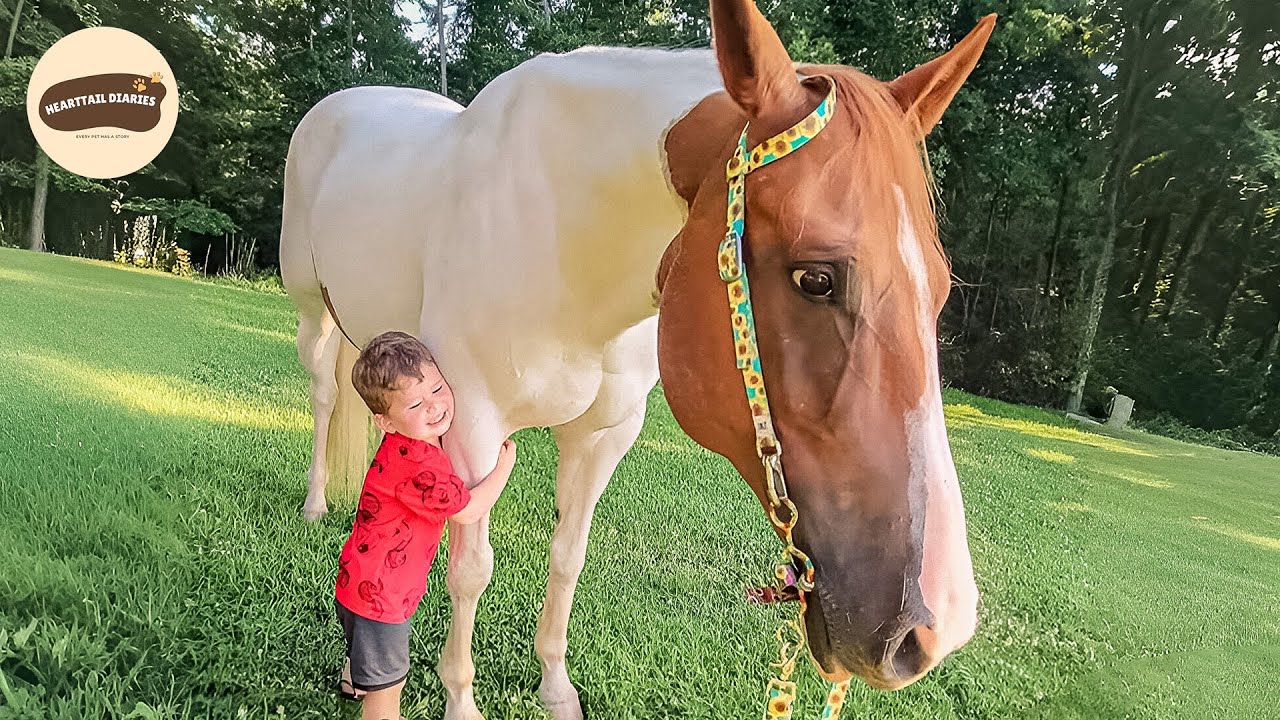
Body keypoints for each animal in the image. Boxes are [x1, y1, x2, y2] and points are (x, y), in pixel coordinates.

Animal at [279, 2, 994, 717]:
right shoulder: (469, 423)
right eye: (815, 278)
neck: (567, 238)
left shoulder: (605, 435)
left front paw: (556, 688)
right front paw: (461, 700)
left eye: (939, 287)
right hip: (314, 315)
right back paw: (314, 505)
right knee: (323, 396)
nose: (936, 627)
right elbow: (470, 569)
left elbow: (568, 555)